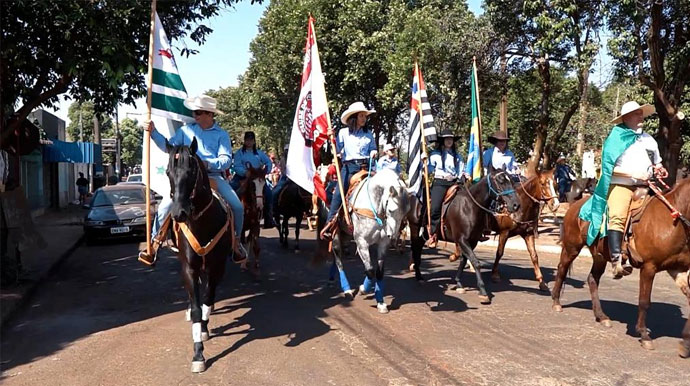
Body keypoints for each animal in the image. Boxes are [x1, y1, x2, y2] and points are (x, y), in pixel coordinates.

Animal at [166, 140, 231, 372]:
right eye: (168, 172)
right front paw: (198, 354)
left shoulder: (217, 266)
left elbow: (207, 300)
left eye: (191, 172)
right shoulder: (189, 268)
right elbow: (196, 308)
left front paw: (203, 328)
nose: (179, 213)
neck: (202, 223)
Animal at [326, 169, 408, 314]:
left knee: (337, 258)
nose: (393, 237)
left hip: (345, 235)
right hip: (335, 235)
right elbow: (370, 270)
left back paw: (332, 278)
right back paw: (347, 290)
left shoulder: (383, 244)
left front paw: (381, 302)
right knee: (339, 260)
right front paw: (363, 290)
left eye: (405, 212)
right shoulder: (361, 242)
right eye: (391, 210)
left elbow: (379, 272)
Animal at [406, 164, 520, 304]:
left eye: (512, 180)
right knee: (415, 248)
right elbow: (475, 262)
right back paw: (418, 276)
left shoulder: (472, 241)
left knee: (418, 247)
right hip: (414, 227)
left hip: (426, 233)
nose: (516, 205)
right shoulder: (462, 240)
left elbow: (464, 259)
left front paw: (459, 283)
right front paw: (483, 292)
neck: (470, 206)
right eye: (501, 181)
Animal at [548, 179, 688, 358]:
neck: (674, 223)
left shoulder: (679, 270)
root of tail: (575, 205)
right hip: (572, 248)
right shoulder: (649, 267)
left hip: (599, 256)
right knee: (562, 269)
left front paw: (685, 344)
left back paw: (601, 316)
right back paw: (556, 302)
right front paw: (644, 334)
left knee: (592, 279)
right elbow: (644, 302)